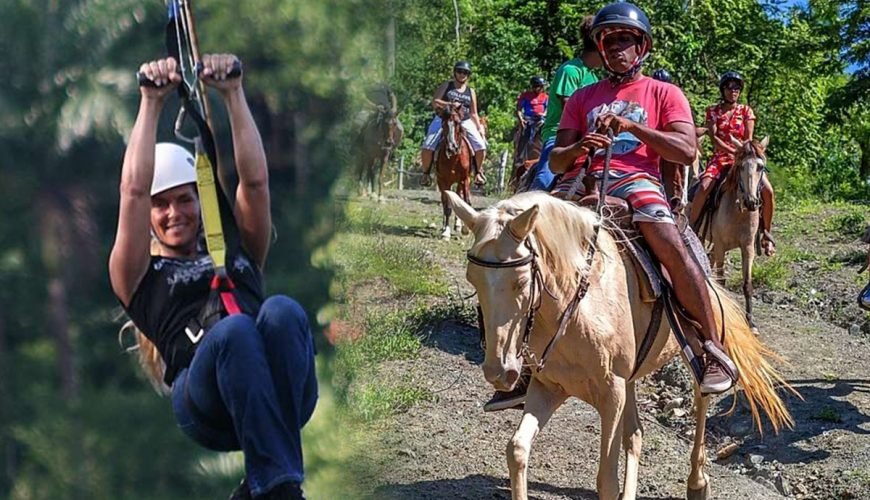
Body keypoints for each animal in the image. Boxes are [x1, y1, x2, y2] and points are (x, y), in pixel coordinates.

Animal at [436, 102, 476, 239]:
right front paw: (446, 232)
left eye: (458, 123)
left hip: (459, 182)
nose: (452, 148)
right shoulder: (444, 181)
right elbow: (447, 206)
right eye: (443, 124)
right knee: (444, 201)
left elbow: (466, 202)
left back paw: (458, 225)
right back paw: (444, 227)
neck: (454, 158)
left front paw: (465, 229)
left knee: (458, 197)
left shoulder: (465, 179)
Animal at [450, 190, 796, 500]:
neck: (580, 304)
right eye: (472, 279)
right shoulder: (548, 387)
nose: (499, 372)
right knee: (636, 435)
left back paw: (698, 482)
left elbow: (606, 481)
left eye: (521, 281)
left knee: (700, 400)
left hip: (696, 348)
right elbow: (518, 450)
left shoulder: (611, 395)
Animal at [700, 137, 772, 334]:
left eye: (760, 167)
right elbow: (722, 281)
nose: (751, 202)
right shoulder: (721, 246)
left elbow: (747, 284)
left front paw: (751, 323)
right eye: (740, 166)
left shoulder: (747, 248)